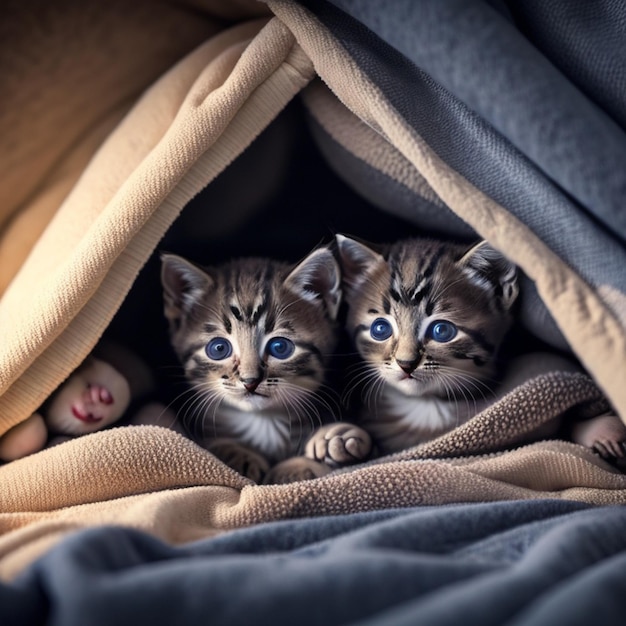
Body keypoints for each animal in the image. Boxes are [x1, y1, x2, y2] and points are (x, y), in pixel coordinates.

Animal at [160, 246, 370, 480]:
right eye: (218, 348)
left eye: (280, 347)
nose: (250, 380)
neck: (263, 421)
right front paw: (237, 453)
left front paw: (331, 442)